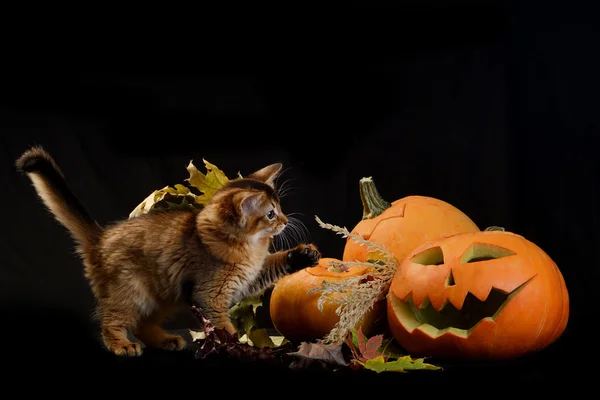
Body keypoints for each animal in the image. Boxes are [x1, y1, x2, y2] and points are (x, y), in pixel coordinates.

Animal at [16, 146, 322, 356]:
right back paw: (121, 345)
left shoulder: (248, 279)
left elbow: (275, 262)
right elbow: (224, 328)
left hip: (165, 294)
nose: (285, 220)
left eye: (280, 208)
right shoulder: (209, 296)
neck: (249, 249)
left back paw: (167, 340)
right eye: (271, 214)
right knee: (110, 320)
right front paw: (239, 349)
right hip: (130, 290)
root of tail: (100, 237)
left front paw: (303, 254)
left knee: (141, 325)